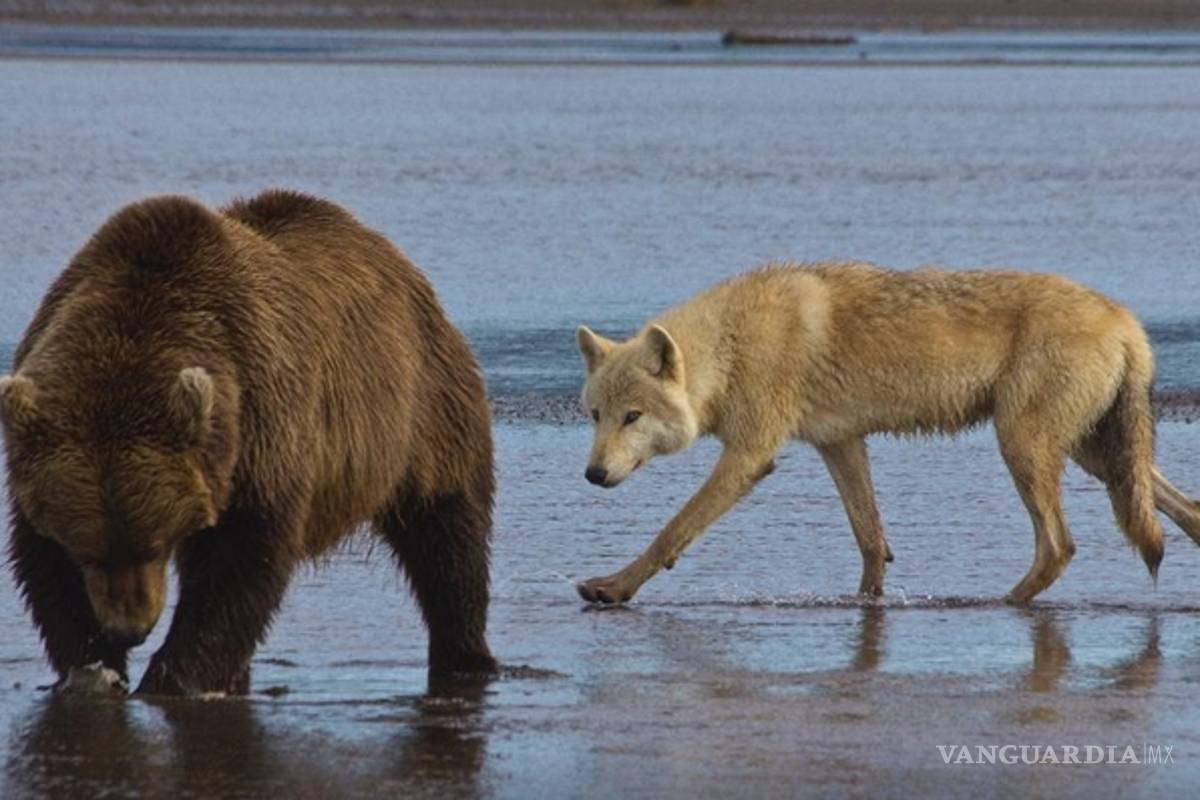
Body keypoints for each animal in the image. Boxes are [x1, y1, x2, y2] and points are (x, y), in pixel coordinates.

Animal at [0, 189, 497, 695]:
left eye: (153, 544)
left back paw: (466, 654)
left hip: (423, 412)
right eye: (88, 549)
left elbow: (239, 563)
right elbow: (44, 567)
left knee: (447, 535)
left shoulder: (259, 424)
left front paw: (174, 676)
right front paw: (93, 667)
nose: (129, 630)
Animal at [574, 262, 1200, 604]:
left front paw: (614, 587)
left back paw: (998, 602)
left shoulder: (749, 456)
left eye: (632, 417)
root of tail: (1126, 320)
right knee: (1183, 509)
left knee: (1059, 546)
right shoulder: (840, 444)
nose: (593, 474)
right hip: (1099, 458)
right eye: (596, 416)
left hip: (1026, 447)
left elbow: (670, 532)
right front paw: (866, 603)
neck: (731, 345)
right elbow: (871, 539)